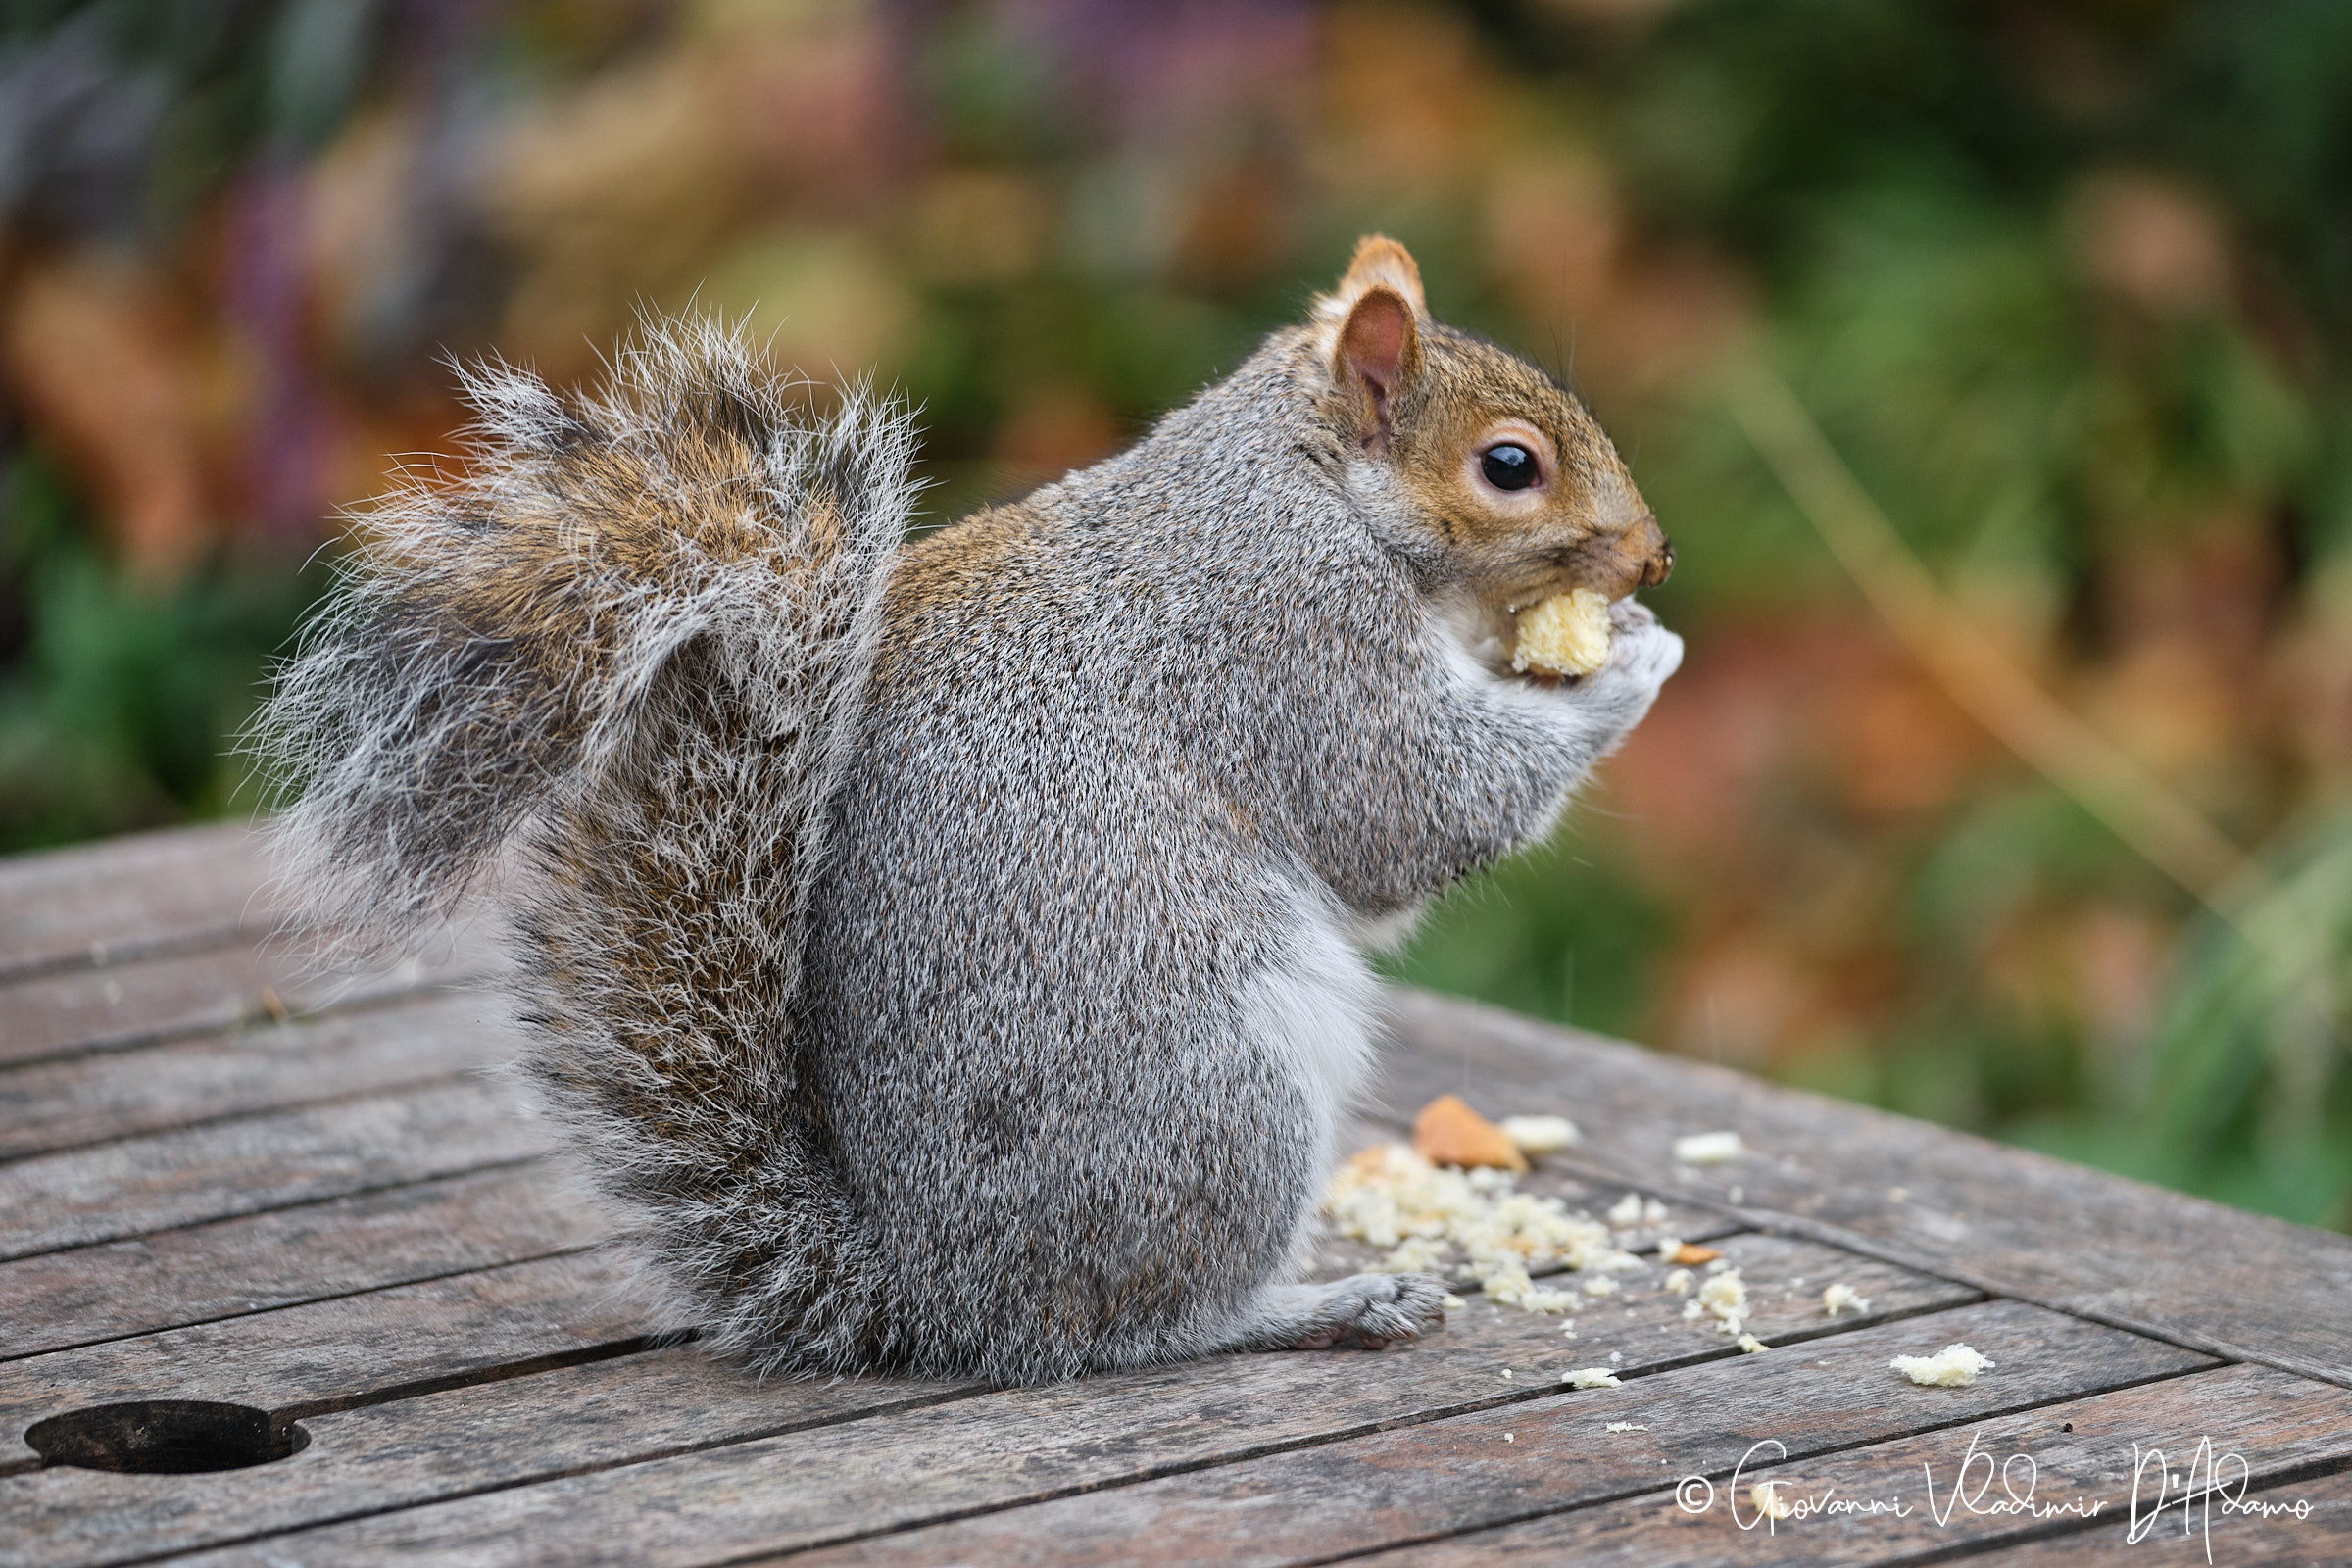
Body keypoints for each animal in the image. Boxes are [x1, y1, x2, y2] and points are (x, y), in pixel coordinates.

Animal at [252, 236, 1681, 1386]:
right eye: (1511, 466)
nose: (1654, 558)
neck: (1306, 484)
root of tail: (935, 1294)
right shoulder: (1290, 643)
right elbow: (1410, 805)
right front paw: (1629, 663)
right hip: (1220, 1097)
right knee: (1137, 1323)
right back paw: (1320, 1302)